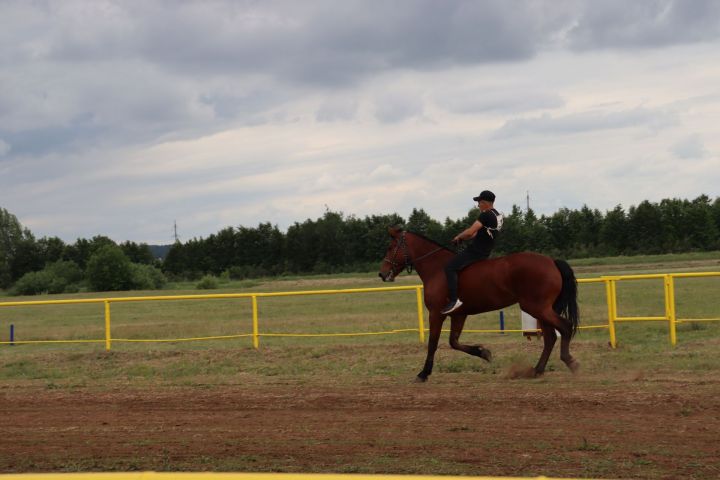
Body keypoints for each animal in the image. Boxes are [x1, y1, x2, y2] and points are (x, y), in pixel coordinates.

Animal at [376, 226, 580, 382]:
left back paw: (570, 362)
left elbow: (433, 343)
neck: (437, 268)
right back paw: (537, 370)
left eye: (390, 247)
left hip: (537, 308)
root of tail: (551, 261)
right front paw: (484, 352)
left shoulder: (436, 314)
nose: (382, 273)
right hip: (540, 309)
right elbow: (454, 342)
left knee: (564, 327)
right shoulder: (458, 315)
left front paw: (423, 373)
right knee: (550, 337)